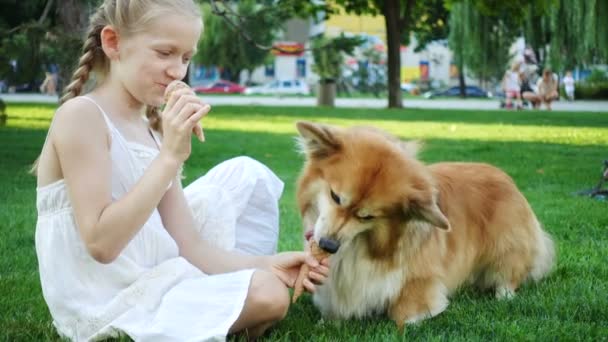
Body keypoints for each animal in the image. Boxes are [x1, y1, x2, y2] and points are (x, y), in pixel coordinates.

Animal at [294, 121, 556, 328]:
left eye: (367, 217)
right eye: (335, 197)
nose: (328, 246)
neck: (361, 245)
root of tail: (506, 178)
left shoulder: (419, 278)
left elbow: (402, 312)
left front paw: (411, 320)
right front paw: (329, 321)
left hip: (506, 251)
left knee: (509, 274)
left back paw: (504, 295)